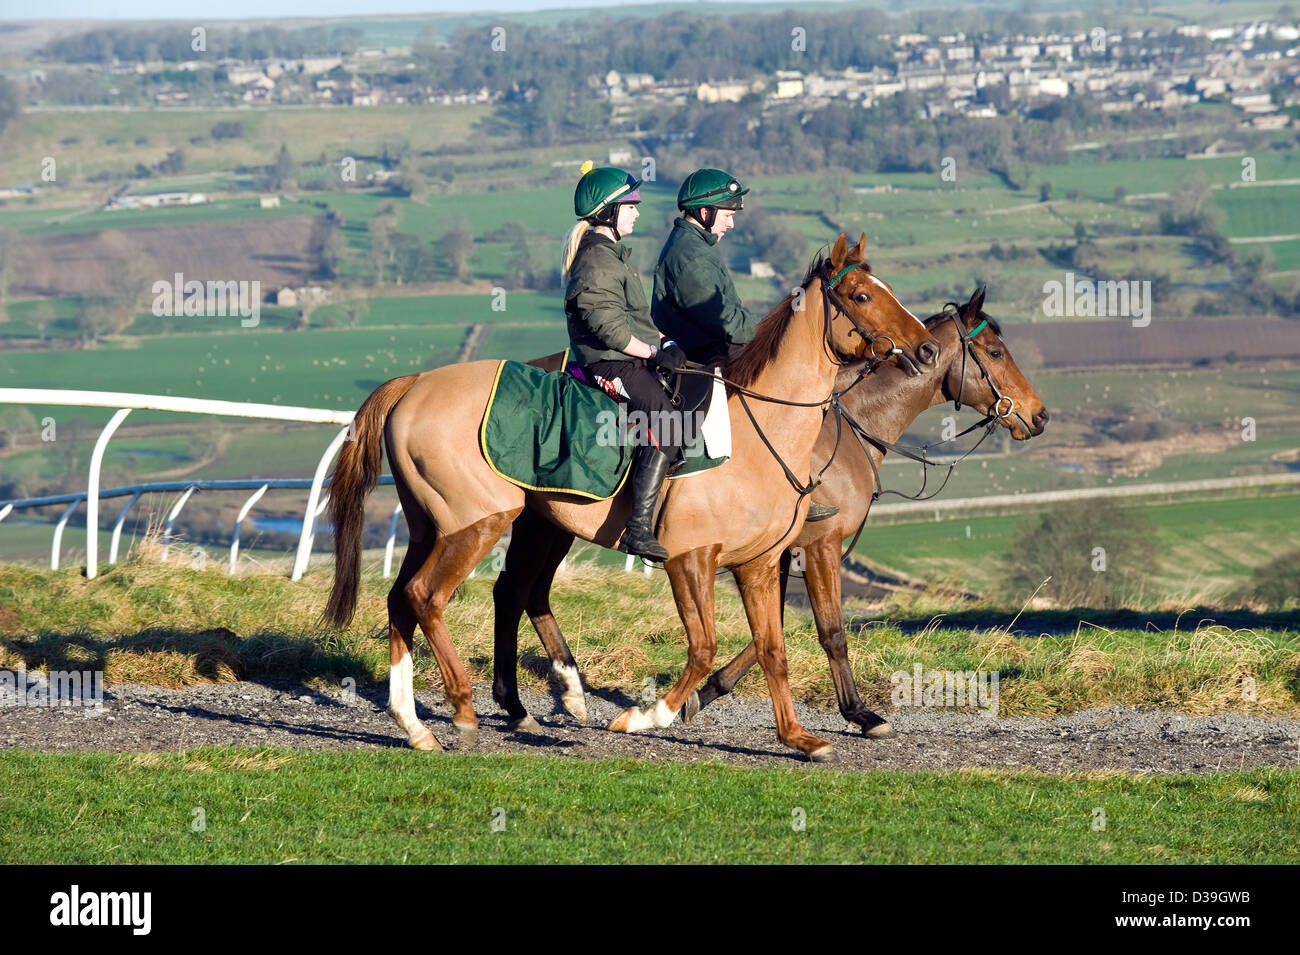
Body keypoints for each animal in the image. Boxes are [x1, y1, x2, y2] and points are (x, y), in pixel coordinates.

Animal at [319, 237, 941, 764]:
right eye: (862, 295)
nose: (928, 348)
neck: (763, 430)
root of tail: (416, 382)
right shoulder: (693, 559)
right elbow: (705, 647)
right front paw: (648, 717)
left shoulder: (761, 565)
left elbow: (772, 649)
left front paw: (798, 738)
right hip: (478, 524)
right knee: (429, 597)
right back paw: (468, 710)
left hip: (454, 526)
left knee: (418, 598)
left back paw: (422, 722)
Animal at [491, 287, 1050, 743]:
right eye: (996, 352)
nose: (1039, 414)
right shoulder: (817, 546)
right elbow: (829, 631)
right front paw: (860, 713)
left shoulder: (772, 553)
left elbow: (771, 631)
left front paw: (704, 694)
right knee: (516, 590)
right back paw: (525, 702)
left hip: (550, 522)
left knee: (525, 592)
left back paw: (555, 695)